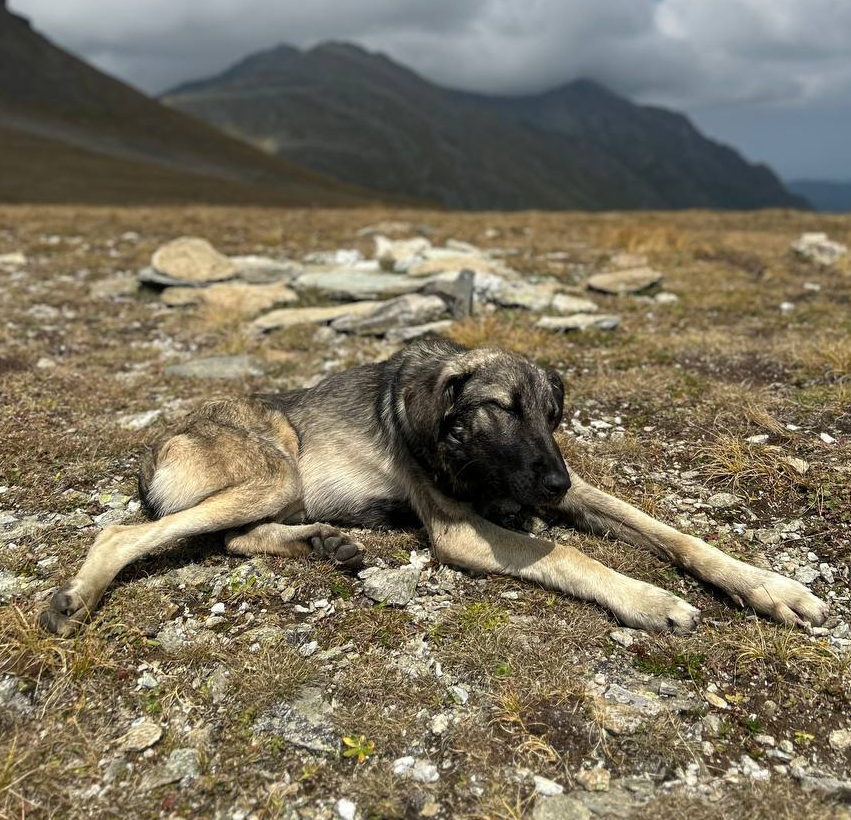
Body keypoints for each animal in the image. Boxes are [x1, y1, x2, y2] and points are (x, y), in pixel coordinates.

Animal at [41, 336, 832, 636]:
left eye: (551, 415)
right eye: (500, 409)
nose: (553, 484)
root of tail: (157, 442)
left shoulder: (570, 489)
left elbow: (673, 532)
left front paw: (769, 587)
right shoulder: (460, 532)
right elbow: (569, 555)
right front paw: (649, 600)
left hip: (275, 489)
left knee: (233, 539)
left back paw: (328, 544)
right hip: (273, 467)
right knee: (126, 531)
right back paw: (74, 601)